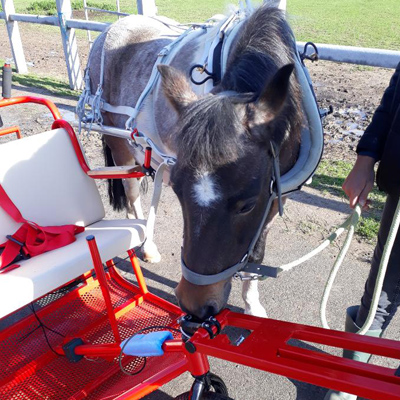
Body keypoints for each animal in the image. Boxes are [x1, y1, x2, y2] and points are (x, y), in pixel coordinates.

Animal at [83, 3, 304, 320]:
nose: (194, 305)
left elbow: (256, 253)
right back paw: (147, 246)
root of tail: (111, 29)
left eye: (247, 205)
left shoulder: (274, 198)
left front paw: (252, 304)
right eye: (177, 193)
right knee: (132, 193)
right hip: (118, 140)